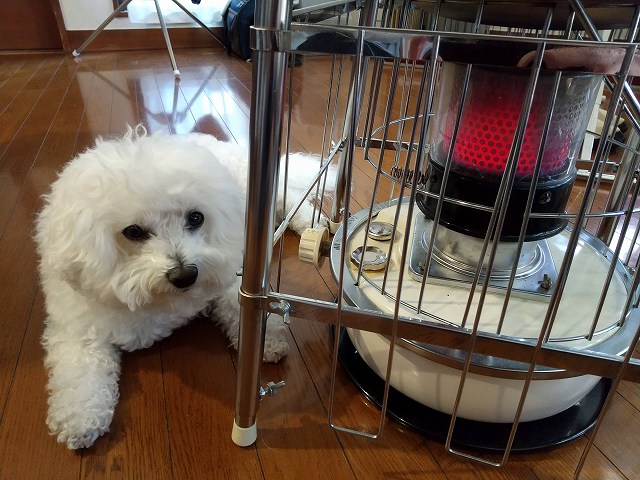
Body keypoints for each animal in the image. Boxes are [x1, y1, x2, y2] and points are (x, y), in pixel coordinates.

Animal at [35, 126, 331, 449]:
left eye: (196, 218)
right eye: (133, 232)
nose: (185, 274)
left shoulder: (230, 275)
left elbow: (238, 306)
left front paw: (267, 343)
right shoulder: (78, 331)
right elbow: (78, 376)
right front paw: (79, 420)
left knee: (291, 199)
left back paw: (312, 224)